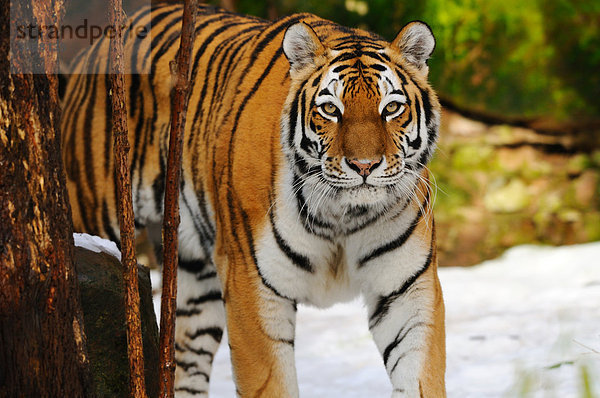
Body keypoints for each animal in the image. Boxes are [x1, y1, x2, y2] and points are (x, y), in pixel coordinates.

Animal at [61, 3, 446, 398]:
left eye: (392, 108)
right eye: (330, 110)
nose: (365, 165)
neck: (343, 216)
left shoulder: (407, 290)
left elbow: (420, 376)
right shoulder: (252, 285)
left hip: (196, 282)